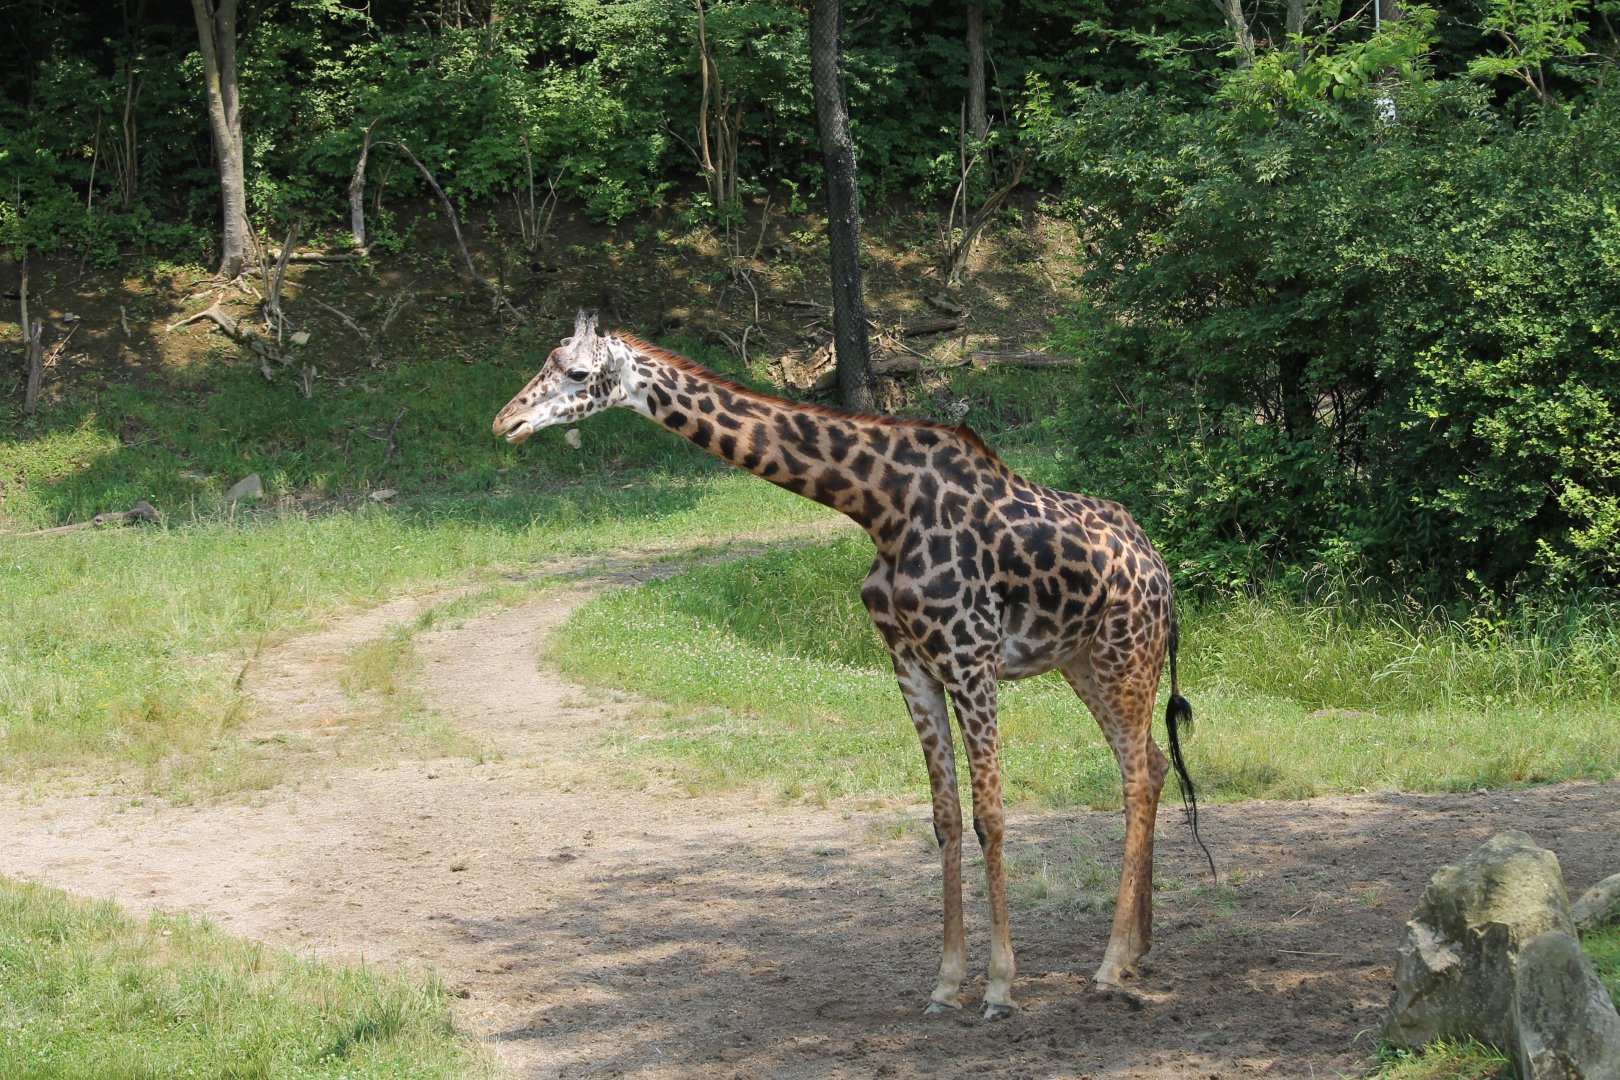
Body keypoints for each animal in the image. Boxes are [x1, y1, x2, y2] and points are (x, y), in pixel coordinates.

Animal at [493, 311, 1207, 1019]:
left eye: (577, 372)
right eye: (547, 362)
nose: (506, 421)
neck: (879, 505)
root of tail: (1163, 572)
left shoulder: (970, 658)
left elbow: (991, 816)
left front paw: (1001, 987)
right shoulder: (911, 664)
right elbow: (946, 817)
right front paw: (946, 982)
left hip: (1125, 653)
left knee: (1136, 776)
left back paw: (1109, 967)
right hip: (1083, 662)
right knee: (1152, 763)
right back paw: (1138, 950)